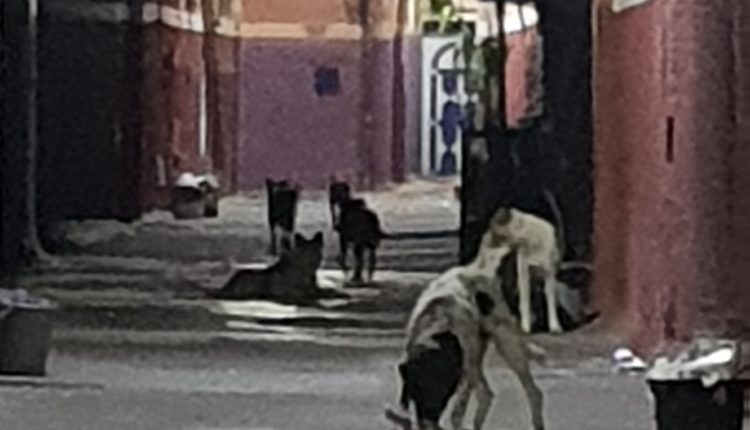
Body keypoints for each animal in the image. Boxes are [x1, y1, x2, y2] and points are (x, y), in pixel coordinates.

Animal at [386, 212, 545, 430]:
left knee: (532, 392)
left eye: (440, 393)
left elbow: (457, 412)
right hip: (480, 358)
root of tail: (478, 269)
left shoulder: (463, 375)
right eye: (419, 391)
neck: (438, 328)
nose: (427, 423)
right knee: (486, 395)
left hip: (506, 346)